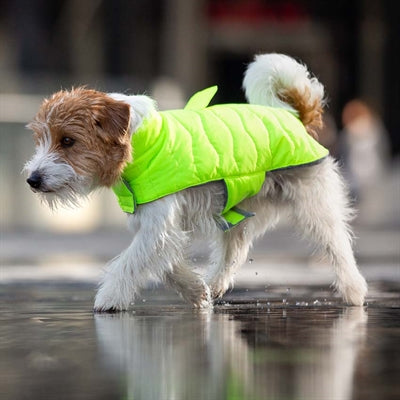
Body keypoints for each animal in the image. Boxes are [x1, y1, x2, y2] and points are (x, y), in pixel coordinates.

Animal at [25, 53, 368, 310]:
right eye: (40, 140)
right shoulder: (155, 226)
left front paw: (109, 298)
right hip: (235, 210)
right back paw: (214, 284)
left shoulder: (158, 225)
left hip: (315, 208)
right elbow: (164, 264)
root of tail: (295, 118)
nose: (32, 179)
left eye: (67, 141)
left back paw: (354, 291)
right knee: (233, 252)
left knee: (338, 245)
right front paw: (195, 289)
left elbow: (129, 262)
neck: (138, 141)